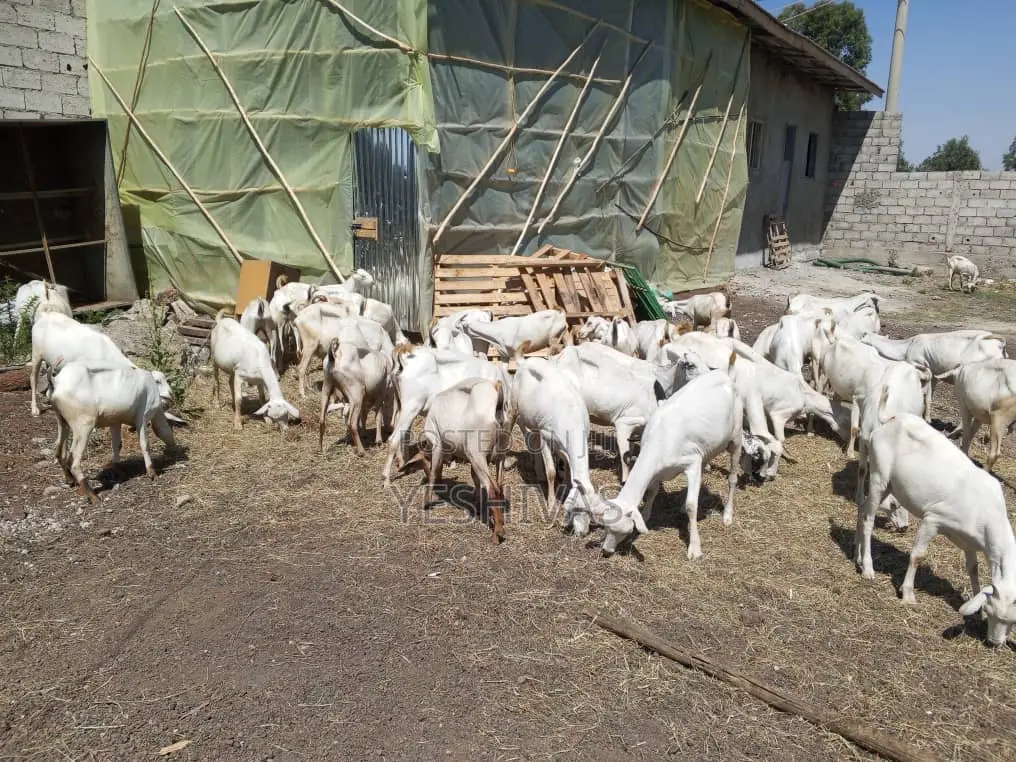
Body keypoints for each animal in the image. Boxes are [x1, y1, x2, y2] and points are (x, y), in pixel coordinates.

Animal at [859, 392, 1016, 646]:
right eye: (994, 613)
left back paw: (857, 557)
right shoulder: (933, 519)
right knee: (868, 518)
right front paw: (908, 594)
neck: (984, 509)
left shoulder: (970, 542)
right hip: (878, 476)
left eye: (1012, 621)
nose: (994, 642)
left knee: (861, 509)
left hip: (888, 484)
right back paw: (868, 569)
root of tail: (889, 420)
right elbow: (917, 556)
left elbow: (973, 568)